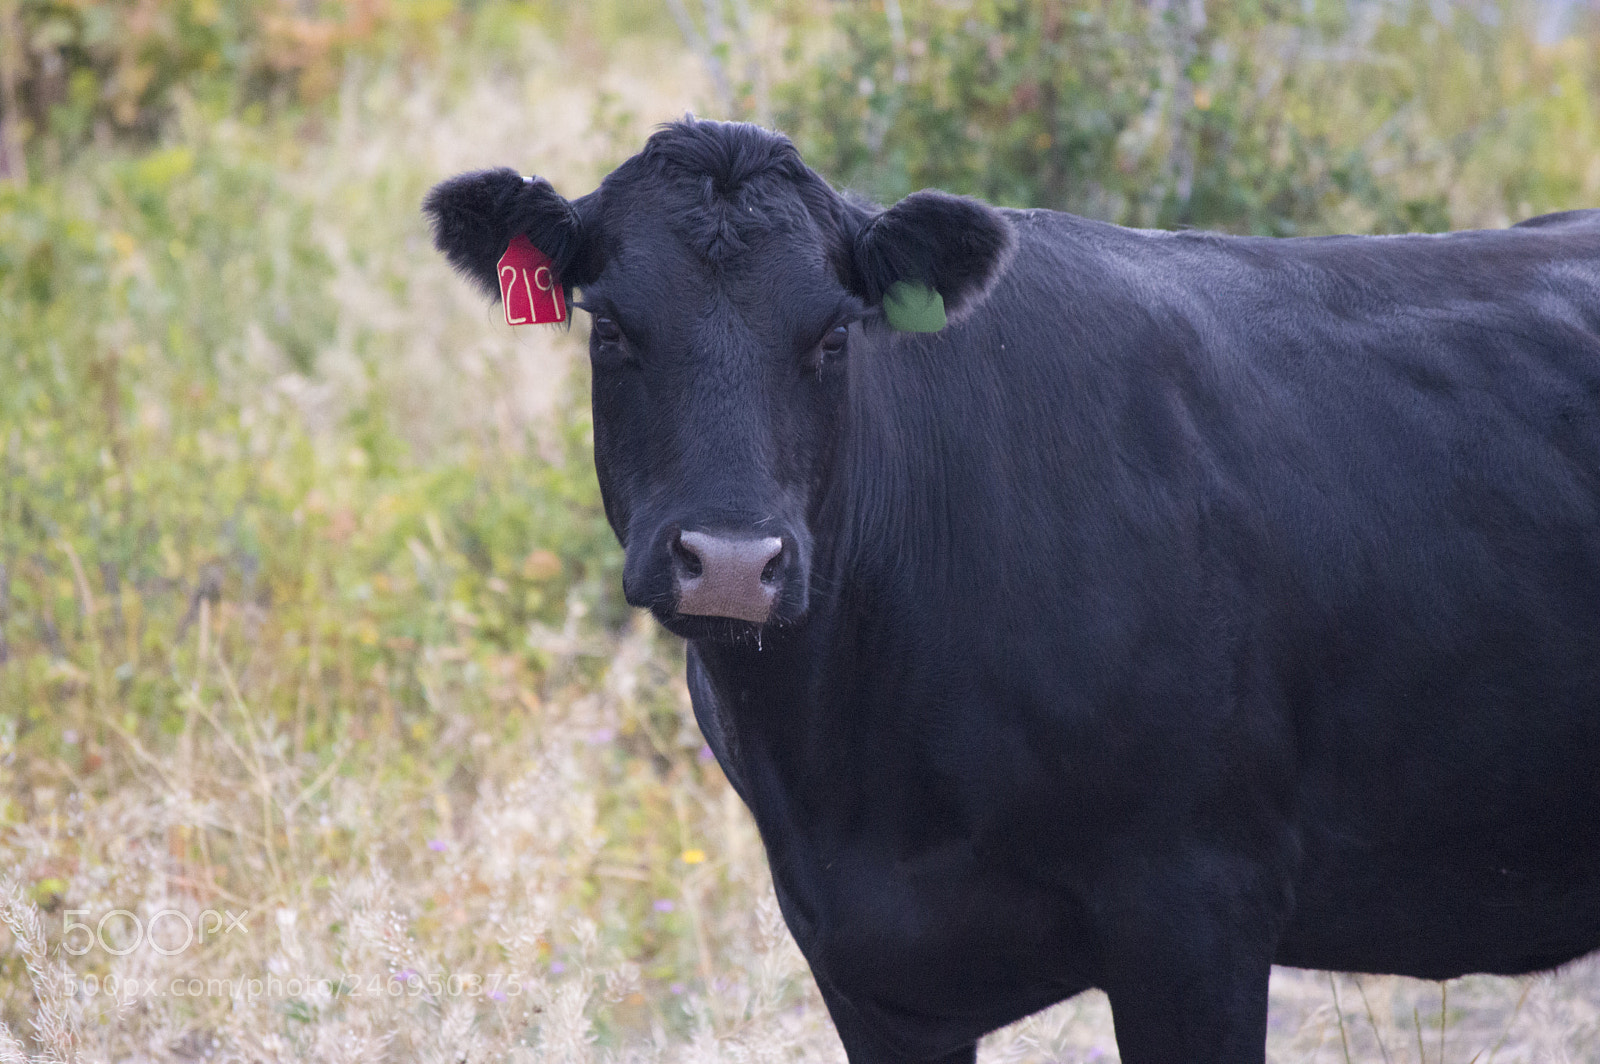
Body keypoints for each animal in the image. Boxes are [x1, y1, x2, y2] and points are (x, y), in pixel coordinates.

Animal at [424, 118, 1600, 1064]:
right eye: (612, 327)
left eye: (833, 333)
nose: (729, 560)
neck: (851, 765)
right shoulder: (861, 961)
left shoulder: (1200, 907)